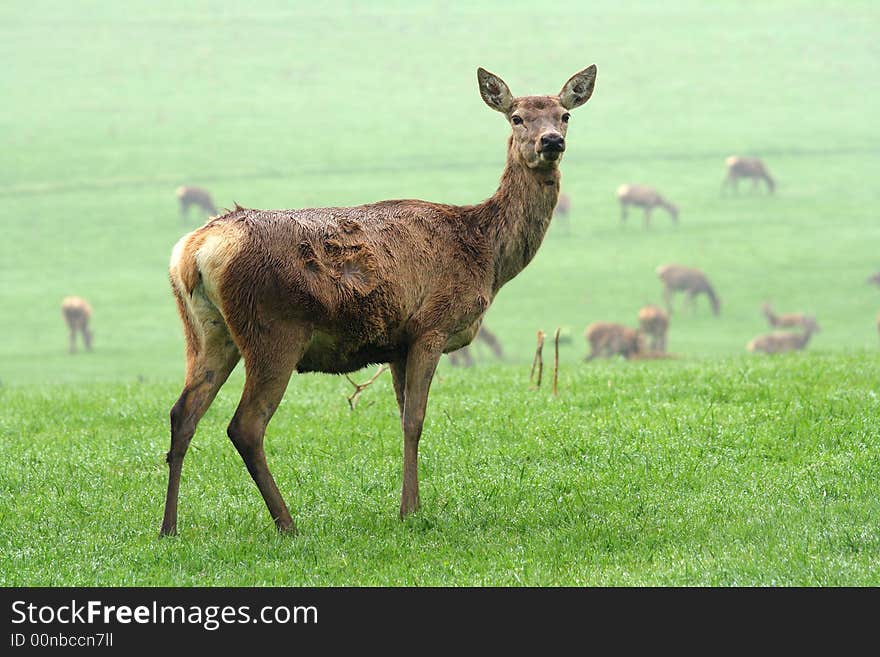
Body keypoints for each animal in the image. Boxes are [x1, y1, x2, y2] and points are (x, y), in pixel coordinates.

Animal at [158, 62, 600, 540]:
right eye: (516, 117)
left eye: (564, 115)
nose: (551, 142)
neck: (485, 254)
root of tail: (195, 250)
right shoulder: (431, 326)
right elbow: (415, 420)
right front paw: (409, 512)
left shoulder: (396, 344)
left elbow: (404, 414)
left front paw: (415, 506)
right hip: (273, 330)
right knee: (246, 425)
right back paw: (287, 524)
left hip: (206, 331)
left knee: (183, 413)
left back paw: (169, 528)